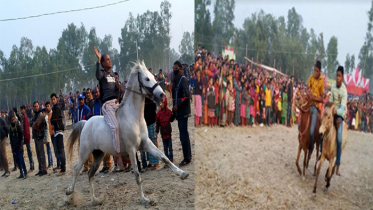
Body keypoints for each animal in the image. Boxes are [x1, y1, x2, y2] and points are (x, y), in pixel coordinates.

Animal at [64, 60, 189, 206]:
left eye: (153, 76)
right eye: (147, 79)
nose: (162, 95)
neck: (134, 118)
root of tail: (86, 122)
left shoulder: (146, 144)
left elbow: (164, 157)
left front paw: (182, 174)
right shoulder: (131, 149)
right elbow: (137, 175)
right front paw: (144, 199)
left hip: (98, 154)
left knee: (90, 174)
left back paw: (95, 200)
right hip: (84, 152)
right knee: (76, 169)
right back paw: (69, 192)